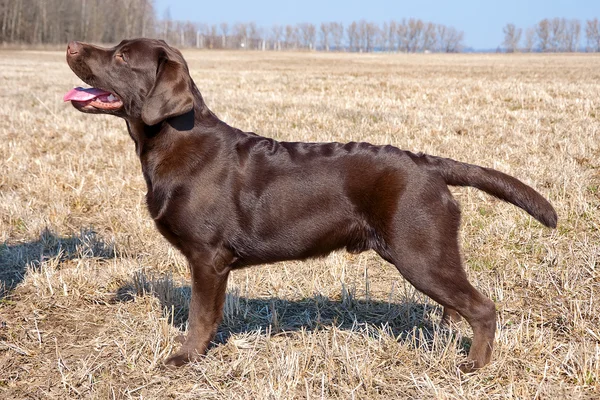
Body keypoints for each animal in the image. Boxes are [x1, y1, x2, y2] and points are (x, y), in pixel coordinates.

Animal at [63, 38, 556, 372]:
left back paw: (475, 364)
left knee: (484, 308)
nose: (71, 46)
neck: (173, 140)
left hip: (421, 253)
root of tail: (427, 164)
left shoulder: (208, 259)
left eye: (123, 57)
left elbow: (200, 316)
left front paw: (184, 357)